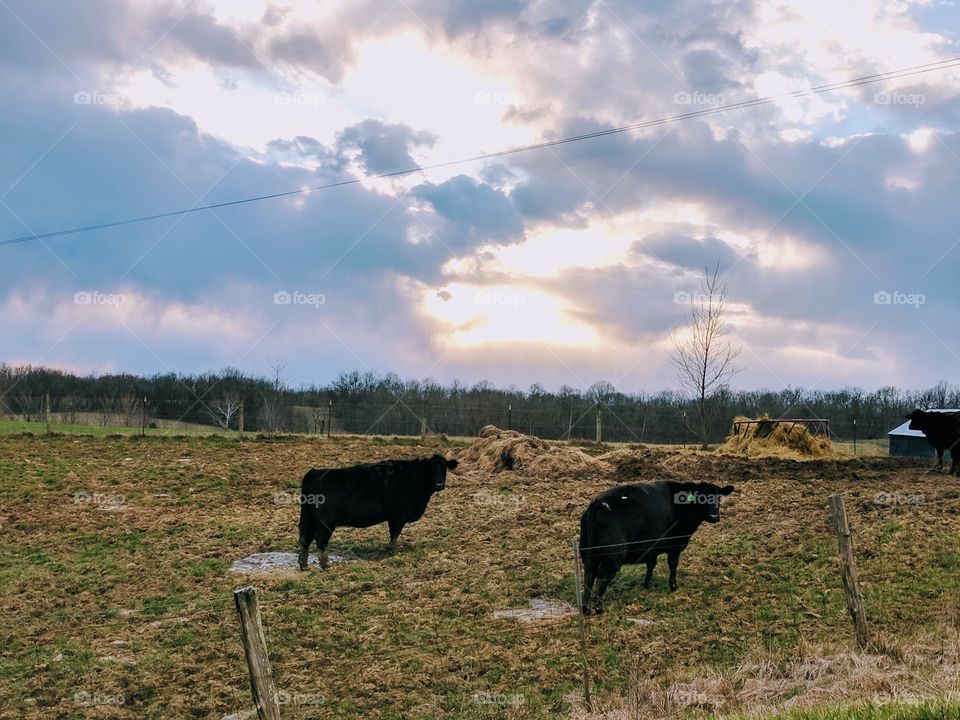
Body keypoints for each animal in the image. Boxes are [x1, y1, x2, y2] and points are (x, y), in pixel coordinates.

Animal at [297, 454, 458, 570]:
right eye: (431, 469)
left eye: (444, 469)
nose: (439, 484)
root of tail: (314, 473)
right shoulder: (398, 516)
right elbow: (394, 535)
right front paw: (392, 553)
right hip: (326, 522)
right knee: (320, 539)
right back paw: (325, 565)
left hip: (307, 516)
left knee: (305, 537)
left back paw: (304, 564)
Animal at [578, 481, 734, 614]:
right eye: (701, 498)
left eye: (719, 498)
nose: (714, 516)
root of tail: (598, 503)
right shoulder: (676, 545)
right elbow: (672, 564)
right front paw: (673, 586)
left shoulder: (650, 548)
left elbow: (651, 565)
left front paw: (647, 584)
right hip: (612, 558)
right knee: (601, 579)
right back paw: (599, 608)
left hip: (588, 555)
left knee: (589, 577)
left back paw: (586, 608)